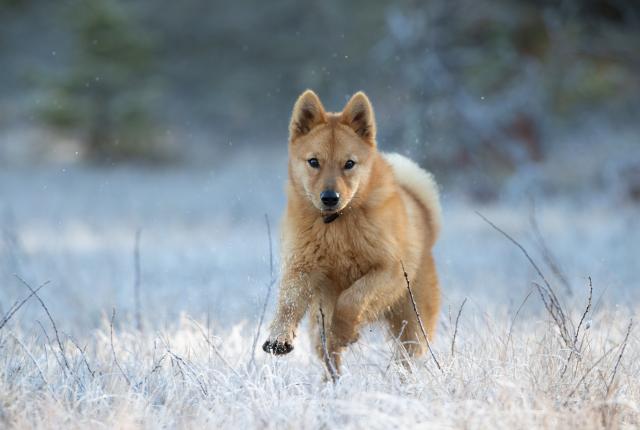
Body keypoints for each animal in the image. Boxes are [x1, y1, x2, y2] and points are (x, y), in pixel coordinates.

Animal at [262, 90, 442, 376]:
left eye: (349, 164)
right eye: (314, 162)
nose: (329, 197)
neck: (337, 225)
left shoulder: (387, 270)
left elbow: (352, 298)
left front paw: (345, 330)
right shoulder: (301, 267)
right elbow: (288, 304)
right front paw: (279, 338)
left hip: (413, 326)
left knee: (406, 357)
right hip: (318, 327)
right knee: (329, 356)